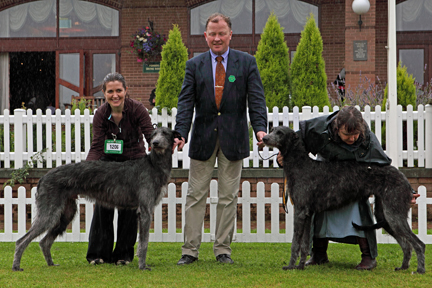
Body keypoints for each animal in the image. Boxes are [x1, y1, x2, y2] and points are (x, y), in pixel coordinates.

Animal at [12, 127, 181, 272]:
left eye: (165, 133)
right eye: (153, 134)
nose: (155, 143)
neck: (153, 165)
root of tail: (43, 177)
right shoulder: (145, 211)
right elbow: (144, 243)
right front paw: (142, 266)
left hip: (66, 213)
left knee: (44, 241)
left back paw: (51, 264)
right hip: (49, 212)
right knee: (22, 240)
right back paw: (16, 266)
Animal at [264, 126, 426, 274]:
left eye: (280, 132)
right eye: (271, 130)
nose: (264, 138)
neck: (301, 165)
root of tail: (405, 180)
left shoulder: (300, 212)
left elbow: (295, 243)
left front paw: (291, 266)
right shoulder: (307, 214)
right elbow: (304, 245)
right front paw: (300, 266)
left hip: (394, 214)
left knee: (419, 244)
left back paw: (420, 269)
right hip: (386, 216)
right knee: (406, 244)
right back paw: (403, 267)